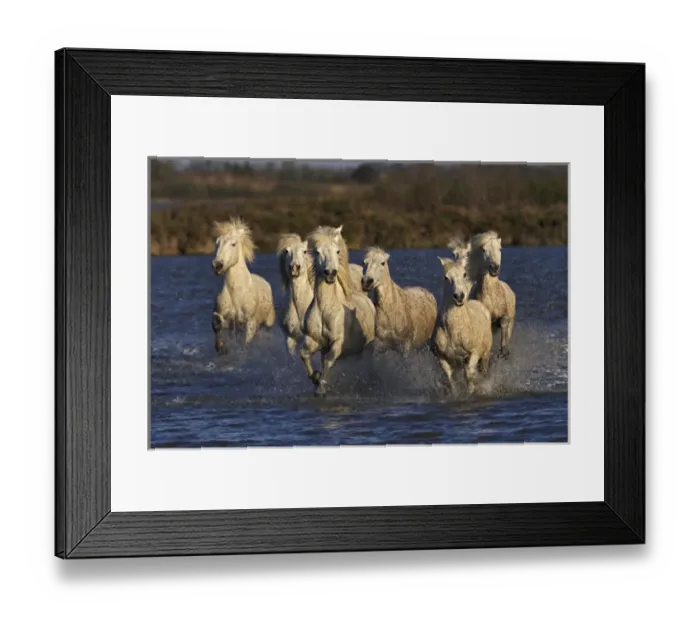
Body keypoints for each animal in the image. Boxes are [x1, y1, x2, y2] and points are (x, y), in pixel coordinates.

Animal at [211, 218, 275, 353]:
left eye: (233, 244)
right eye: (217, 243)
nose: (217, 266)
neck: (237, 292)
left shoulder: (250, 322)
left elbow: (246, 343)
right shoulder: (228, 318)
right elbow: (216, 323)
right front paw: (221, 347)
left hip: (267, 323)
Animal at [299, 225, 376, 396]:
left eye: (337, 251)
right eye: (318, 252)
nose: (330, 273)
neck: (324, 308)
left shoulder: (337, 342)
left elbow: (329, 360)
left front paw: (320, 388)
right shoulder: (314, 340)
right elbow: (304, 354)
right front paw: (316, 377)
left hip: (367, 349)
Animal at [431, 257, 492, 395]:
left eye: (464, 274)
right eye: (446, 277)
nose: (459, 296)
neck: (455, 330)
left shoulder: (474, 352)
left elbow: (469, 374)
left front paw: (471, 391)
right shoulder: (441, 357)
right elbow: (449, 378)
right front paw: (455, 393)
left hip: (485, 354)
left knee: (483, 371)